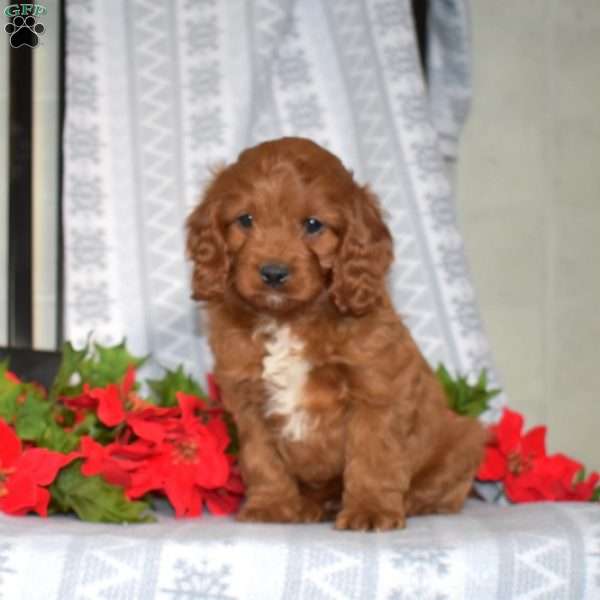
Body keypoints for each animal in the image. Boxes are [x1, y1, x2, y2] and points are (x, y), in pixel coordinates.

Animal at [185, 137, 486, 528]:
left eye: (313, 225)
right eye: (246, 220)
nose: (273, 273)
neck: (289, 318)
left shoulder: (375, 392)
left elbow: (373, 456)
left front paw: (371, 510)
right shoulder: (247, 400)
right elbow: (262, 459)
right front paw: (270, 506)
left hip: (466, 437)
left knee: (442, 489)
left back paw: (405, 503)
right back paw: (310, 506)